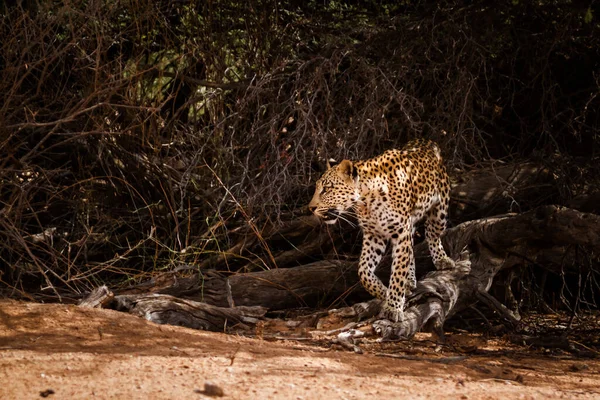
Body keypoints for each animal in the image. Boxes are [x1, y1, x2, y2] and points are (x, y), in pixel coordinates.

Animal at [310, 138, 454, 322]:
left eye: (327, 189)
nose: (311, 208)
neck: (366, 201)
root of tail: (426, 141)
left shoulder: (400, 232)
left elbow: (398, 271)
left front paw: (393, 307)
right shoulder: (374, 234)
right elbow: (363, 271)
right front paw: (383, 292)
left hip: (439, 210)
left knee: (431, 234)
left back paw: (442, 260)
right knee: (411, 249)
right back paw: (409, 280)